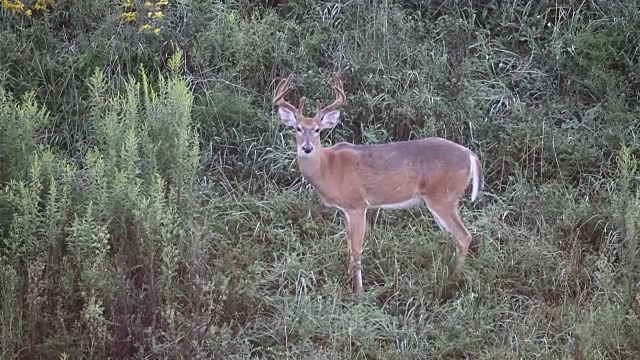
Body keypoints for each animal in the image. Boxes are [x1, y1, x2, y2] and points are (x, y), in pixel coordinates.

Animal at [272, 71, 484, 294]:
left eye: (317, 130)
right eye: (297, 128)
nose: (306, 148)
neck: (329, 169)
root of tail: (471, 155)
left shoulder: (357, 204)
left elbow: (357, 247)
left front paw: (359, 290)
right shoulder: (345, 209)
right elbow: (348, 243)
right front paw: (347, 278)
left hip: (444, 196)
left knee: (464, 236)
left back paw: (455, 279)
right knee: (454, 237)